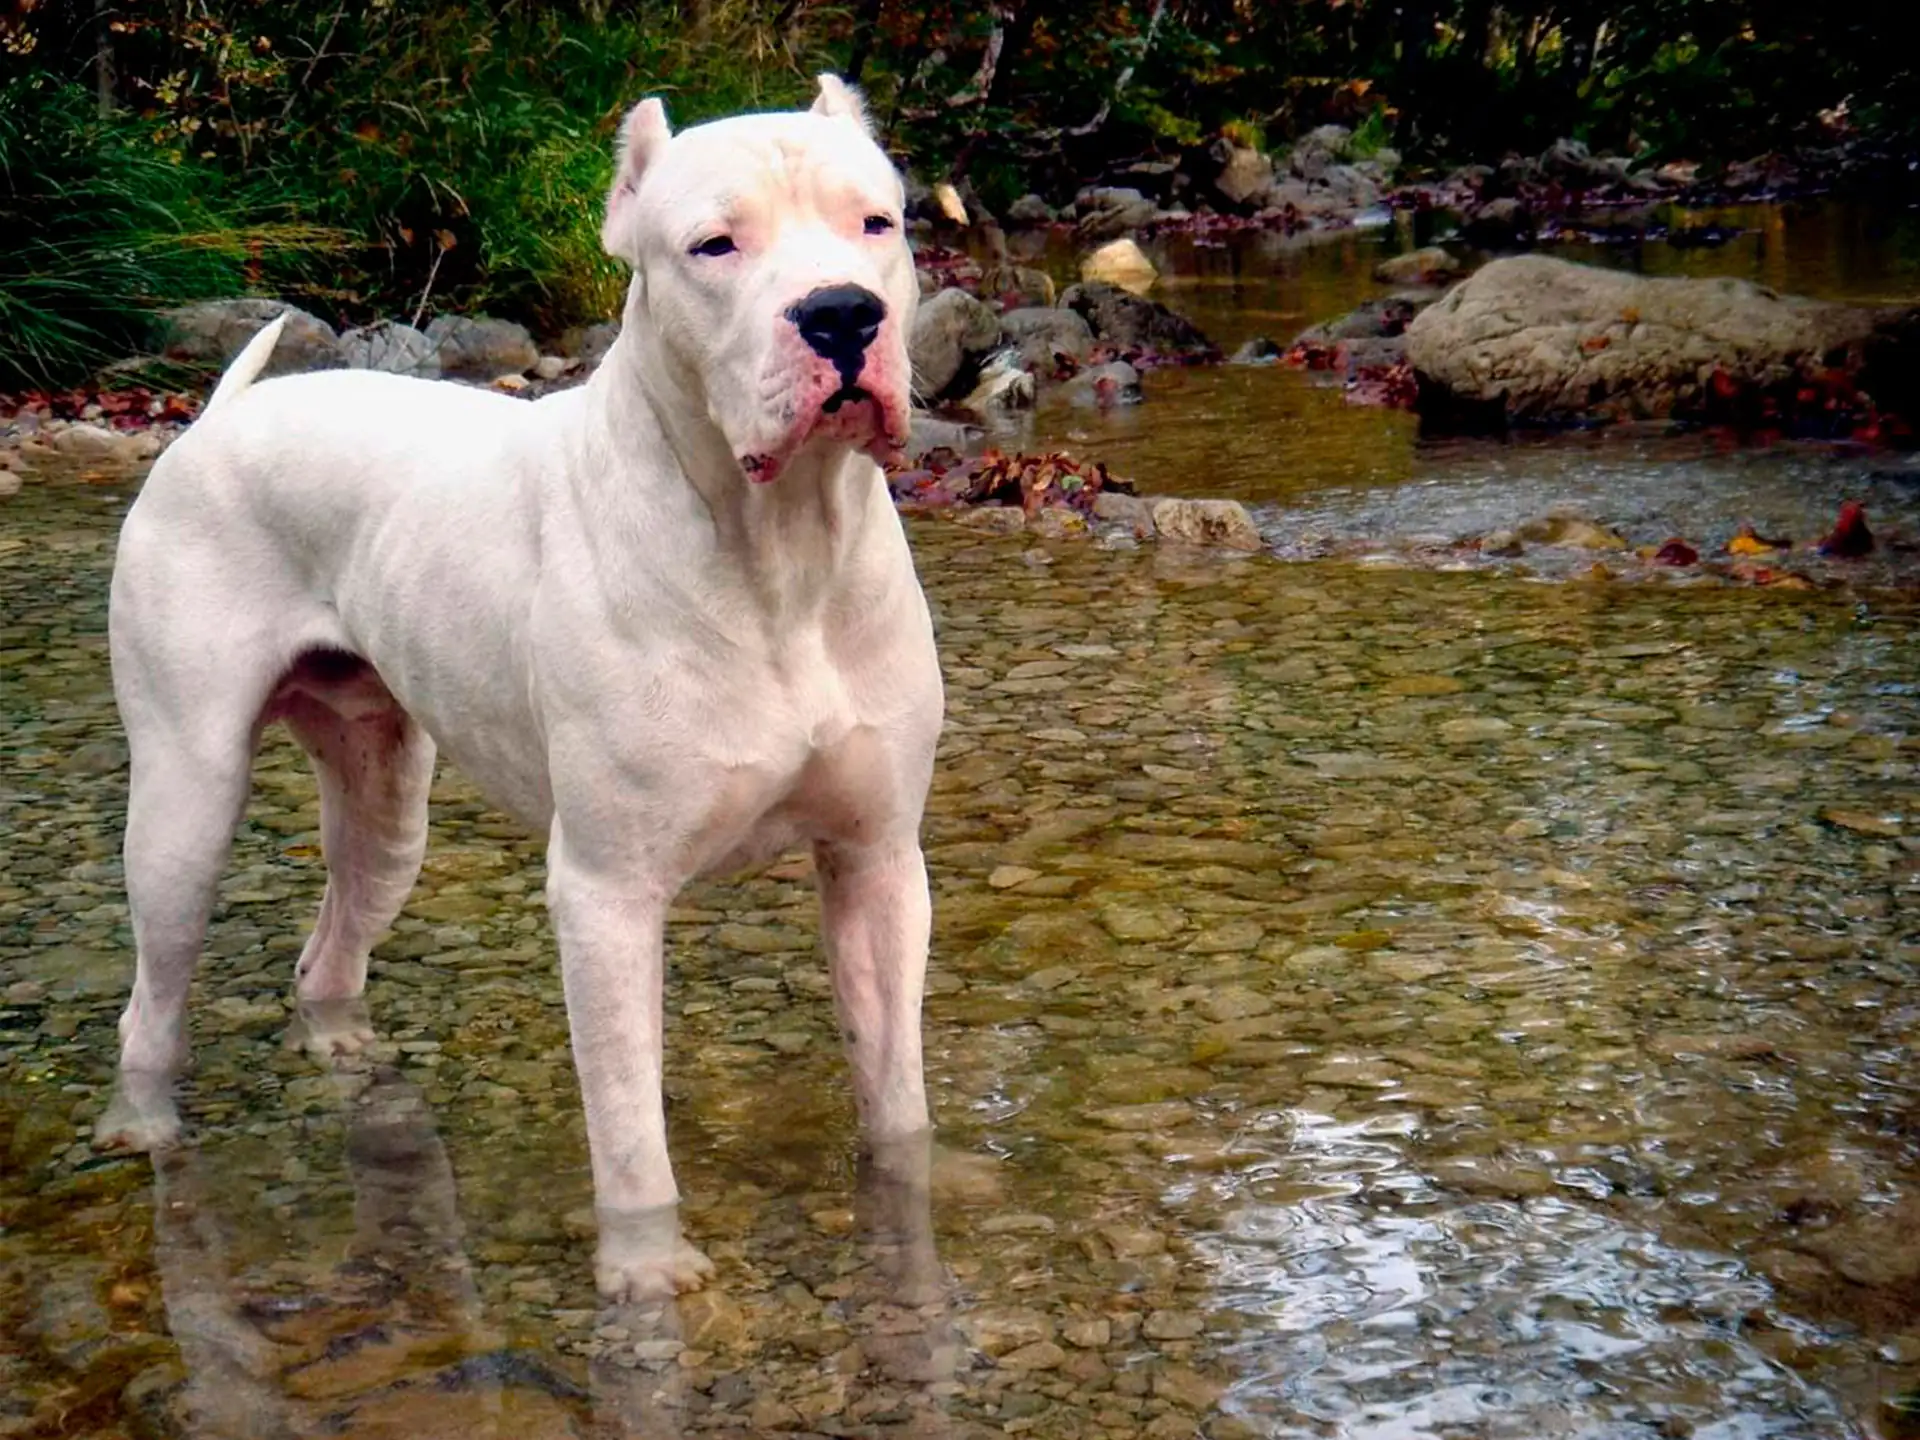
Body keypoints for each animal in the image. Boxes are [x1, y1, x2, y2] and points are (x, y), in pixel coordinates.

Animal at [101, 73, 940, 1305]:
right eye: (714, 245)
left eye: (875, 224)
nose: (840, 314)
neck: (780, 548)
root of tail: (220, 417)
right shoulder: (607, 895)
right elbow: (631, 1129)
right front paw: (644, 1273)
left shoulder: (877, 864)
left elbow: (895, 1098)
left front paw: (915, 1218)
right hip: (185, 804)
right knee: (152, 1004)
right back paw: (145, 1129)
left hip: (386, 803)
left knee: (332, 941)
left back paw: (342, 1052)